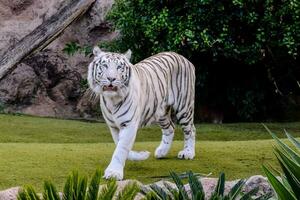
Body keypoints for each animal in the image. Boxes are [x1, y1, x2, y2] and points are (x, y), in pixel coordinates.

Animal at [88, 46, 196, 180]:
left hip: (184, 107)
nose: (111, 79)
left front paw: (113, 172)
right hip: (161, 111)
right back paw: (162, 152)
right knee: (170, 128)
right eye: (104, 66)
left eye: (119, 67)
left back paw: (188, 153)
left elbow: (121, 148)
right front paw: (141, 155)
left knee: (190, 129)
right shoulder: (113, 126)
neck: (112, 100)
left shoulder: (129, 124)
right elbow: (120, 144)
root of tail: (182, 57)